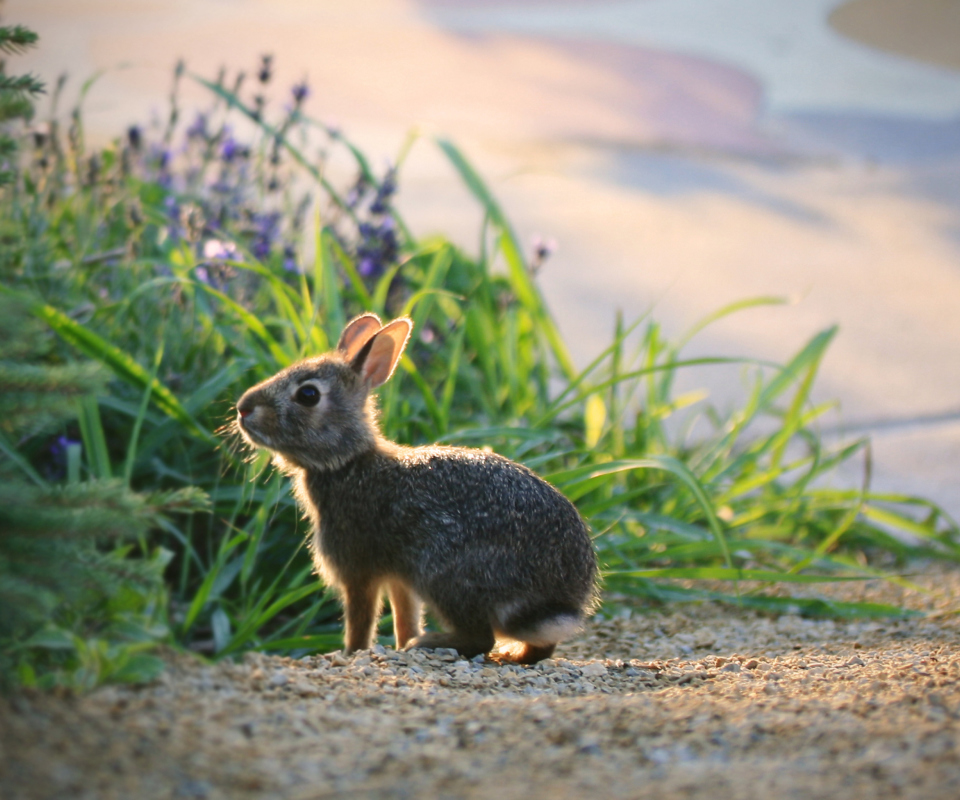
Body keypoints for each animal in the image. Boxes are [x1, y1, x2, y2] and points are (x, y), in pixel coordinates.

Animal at [236, 312, 596, 664]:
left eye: (308, 395)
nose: (243, 408)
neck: (347, 462)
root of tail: (559, 598)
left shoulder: (357, 568)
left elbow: (360, 618)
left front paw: (351, 653)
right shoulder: (399, 578)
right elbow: (404, 614)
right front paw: (398, 643)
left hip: (445, 572)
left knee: (481, 638)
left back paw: (432, 643)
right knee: (539, 647)